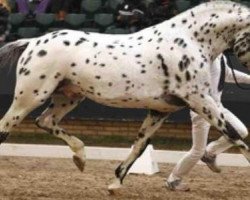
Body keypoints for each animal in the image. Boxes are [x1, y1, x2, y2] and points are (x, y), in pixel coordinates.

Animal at [0, 0, 249, 192]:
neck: (190, 42)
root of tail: (32, 42)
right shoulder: (200, 101)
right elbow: (234, 133)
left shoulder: (161, 110)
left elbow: (140, 145)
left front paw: (115, 183)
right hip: (30, 96)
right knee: (6, 126)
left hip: (69, 96)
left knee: (45, 121)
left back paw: (80, 157)